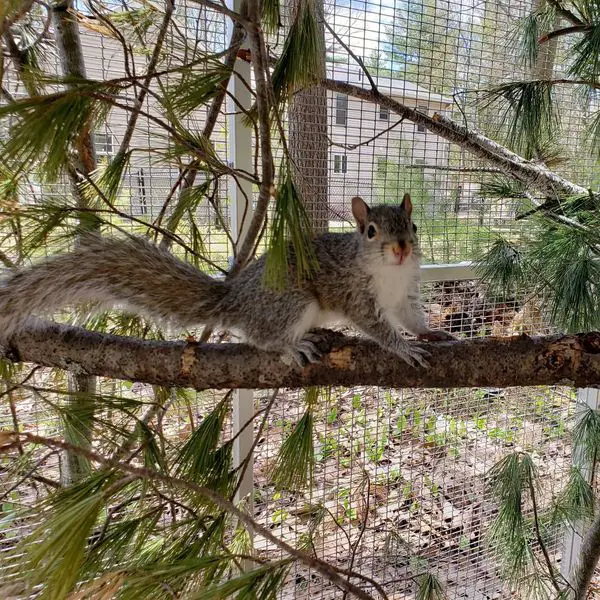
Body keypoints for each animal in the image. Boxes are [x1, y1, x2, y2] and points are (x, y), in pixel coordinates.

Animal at [0, 195, 452, 368]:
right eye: (371, 231)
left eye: (412, 225)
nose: (401, 248)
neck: (390, 272)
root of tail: (234, 299)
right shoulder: (354, 292)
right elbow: (376, 325)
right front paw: (403, 348)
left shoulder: (404, 295)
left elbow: (410, 317)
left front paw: (429, 334)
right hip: (290, 302)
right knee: (259, 337)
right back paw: (291, 345)